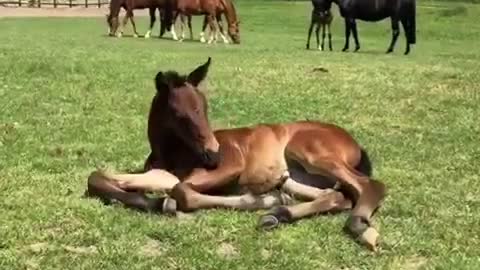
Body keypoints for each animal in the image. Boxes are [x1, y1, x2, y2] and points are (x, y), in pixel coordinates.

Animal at [85, 57, 386, 251]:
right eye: (181, 115)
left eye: (205, 108)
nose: (213, 154)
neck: (174, 154)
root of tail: (353, 142)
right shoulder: (161, 174)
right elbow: (97, 176)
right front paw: (150, 201)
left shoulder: (231, 166)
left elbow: (182, 192)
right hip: (297, 176)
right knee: (337, 196)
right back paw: (277, 213)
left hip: (306, 151)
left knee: (369, 185)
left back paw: (359, 225)